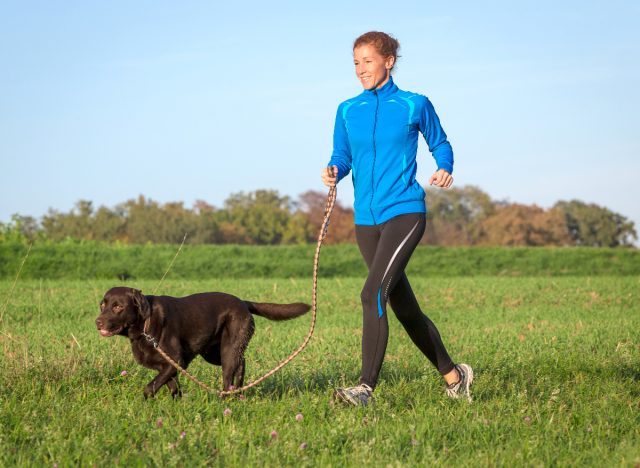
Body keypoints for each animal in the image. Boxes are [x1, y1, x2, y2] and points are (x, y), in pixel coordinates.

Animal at [95, 288, 312, 396]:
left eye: (118, 307)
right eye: (102, 305)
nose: (97, 322)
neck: (145, 324)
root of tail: (243, 303)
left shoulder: (176, 361)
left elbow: (150, 387)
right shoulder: (166, 366)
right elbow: (172, 386)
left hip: (228, 350)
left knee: (229, 376)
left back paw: (226, 400)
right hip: (213, 353)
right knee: (242, 362)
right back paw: (238, 392)